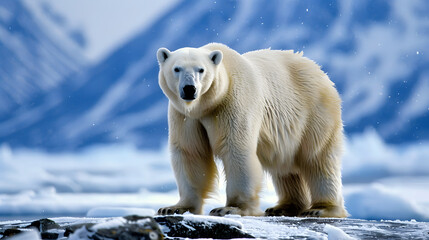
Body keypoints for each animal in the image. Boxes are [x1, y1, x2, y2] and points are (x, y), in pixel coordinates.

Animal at [155, 42, 346, 218]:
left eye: (201, 70)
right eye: (176, 69)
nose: (189, 89)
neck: (207, 104)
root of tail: (319, 70)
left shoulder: (233, 101)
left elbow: (236, 148)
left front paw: (229, 208)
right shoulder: (185, 116)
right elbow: (191, 152)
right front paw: (173, 208)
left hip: (315, 112)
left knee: (317, 158)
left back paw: (320, 208)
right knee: (285, 167)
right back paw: (283, 207)